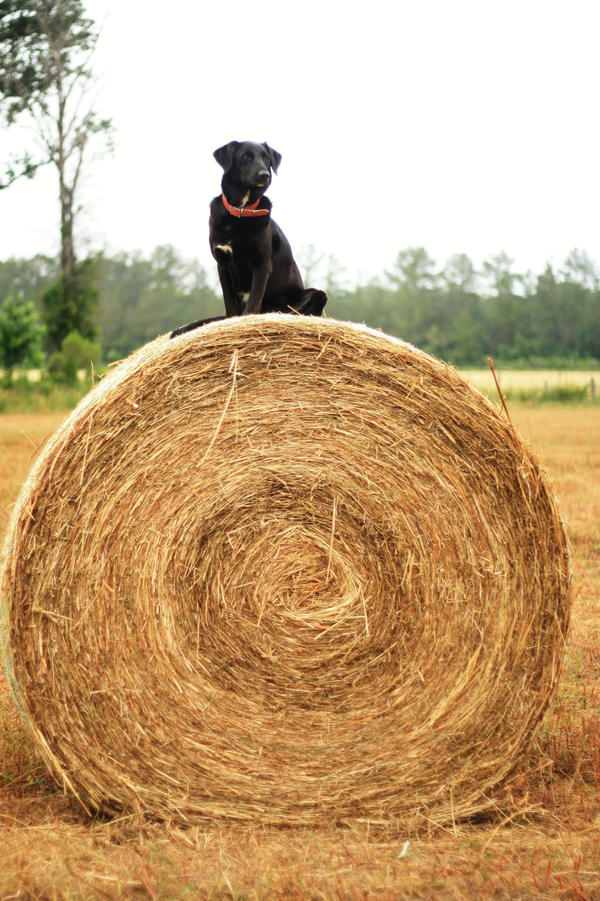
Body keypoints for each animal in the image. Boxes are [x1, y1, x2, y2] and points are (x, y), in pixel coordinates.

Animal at [169, 141, 328, 338]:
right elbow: (229, 305)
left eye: (266, 158)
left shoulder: (262, 264)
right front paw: (230, 323)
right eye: (246, 157)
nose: (264, 175)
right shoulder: (222, 264)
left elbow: (253, 303)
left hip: (316, 294)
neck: (241, 211)